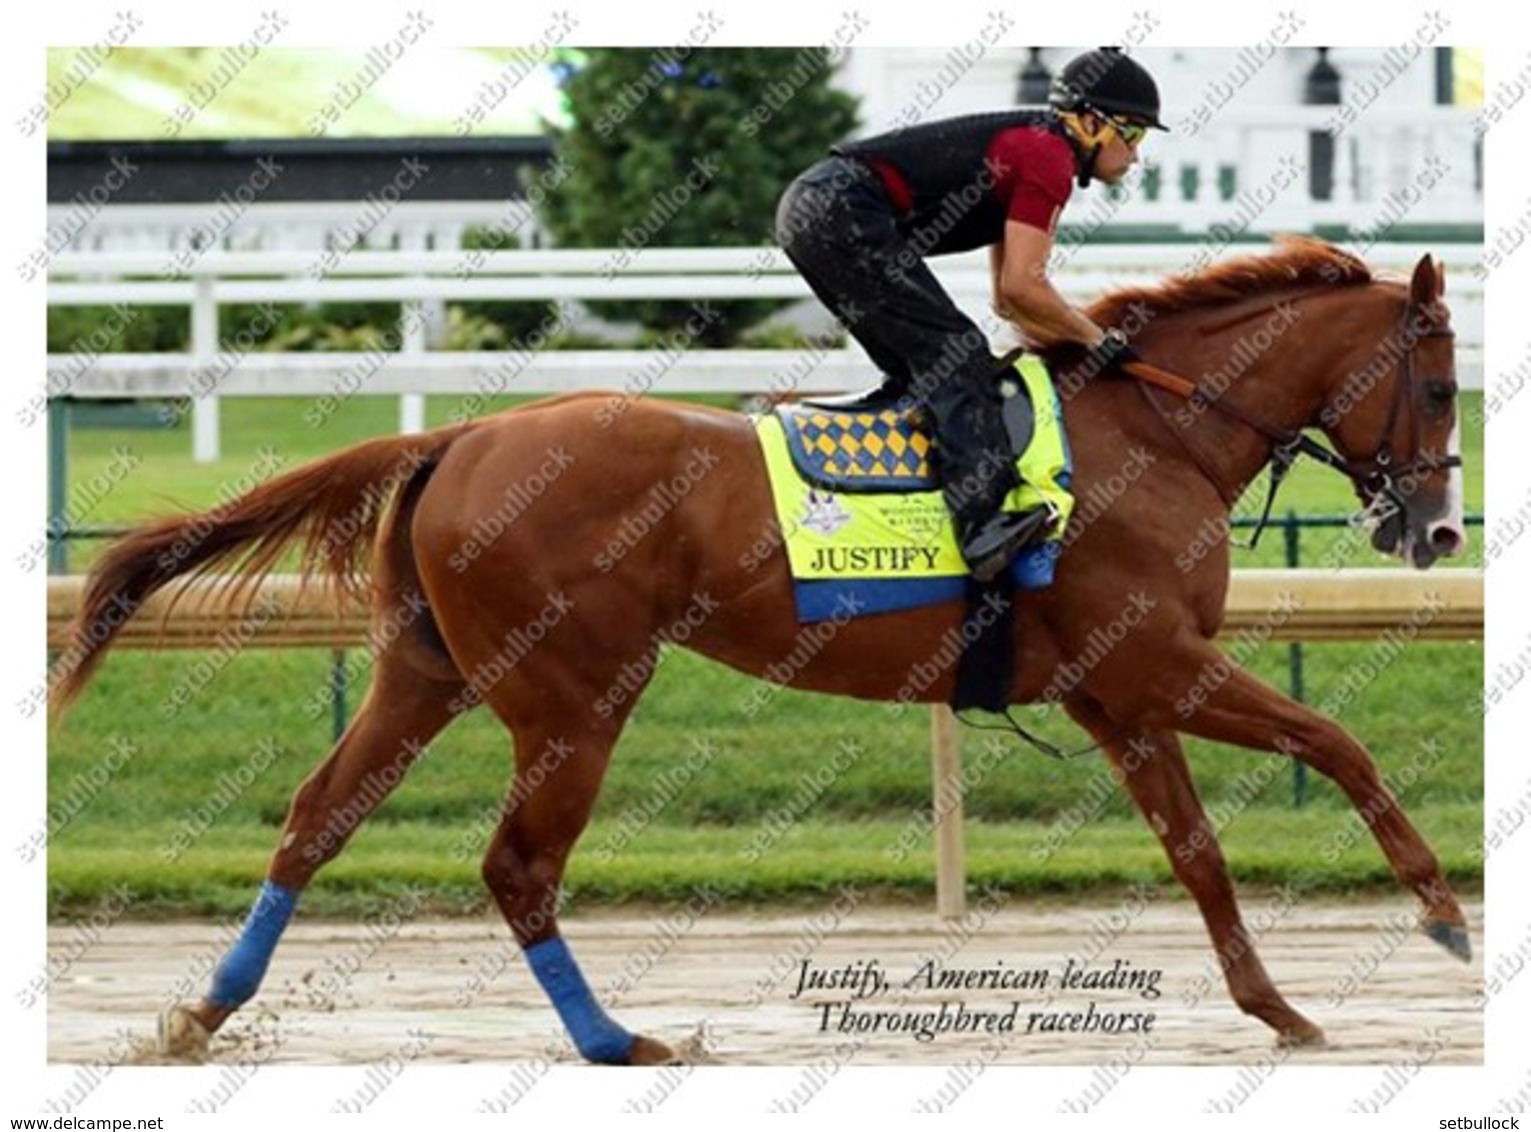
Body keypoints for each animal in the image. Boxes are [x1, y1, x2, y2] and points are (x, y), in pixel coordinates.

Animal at [53, 238, 1469, 1060]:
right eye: (1448, 385)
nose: (1439, 527)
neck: (1153, 436)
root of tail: (454, 436)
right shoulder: (1153, 666)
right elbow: (1337, 742)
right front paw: (1444, 914)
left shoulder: (1115, 698)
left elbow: (1201, 855)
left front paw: (1279, 1008)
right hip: (576, 690)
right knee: (516, 863)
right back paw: (617, 1039)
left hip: (426, 669)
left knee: (317, 814)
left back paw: (201, 1011)